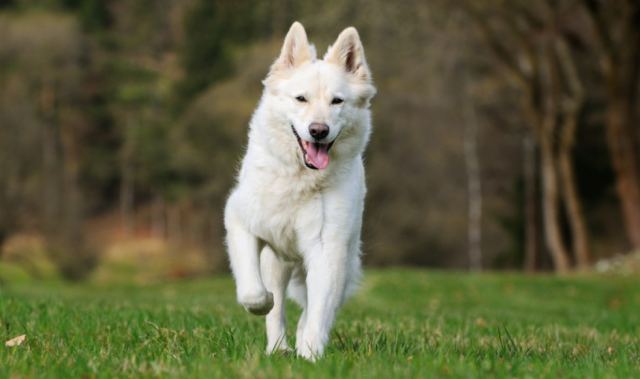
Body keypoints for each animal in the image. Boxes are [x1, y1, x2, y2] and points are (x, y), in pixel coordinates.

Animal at [225, 21, 376, 362]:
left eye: (337, 101)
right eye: (301, 99)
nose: (318, 131)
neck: (300, 179)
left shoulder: (327, 248)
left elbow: (319, 310)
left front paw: (310, 355)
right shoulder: (240, 221)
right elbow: (254, 292)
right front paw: (261, 303)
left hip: (343, 262)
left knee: (315, 307)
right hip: (277, 261)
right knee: (277, 308)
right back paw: (277, 347)